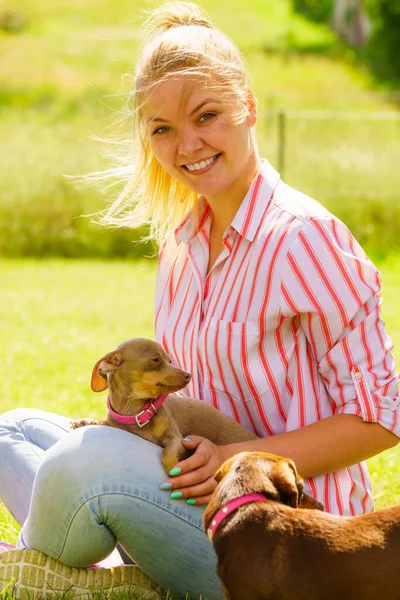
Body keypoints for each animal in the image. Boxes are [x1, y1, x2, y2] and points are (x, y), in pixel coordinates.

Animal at [71, 338, 256, 474]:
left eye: (170, 360)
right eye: (155, 360)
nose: (187, 375)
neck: (137, 412)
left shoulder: (176, 439)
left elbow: (167, 453)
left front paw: (174, 468)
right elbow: (106, 423)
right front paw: (86, 421)